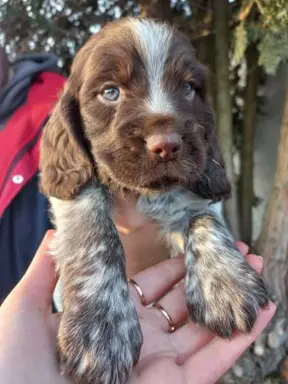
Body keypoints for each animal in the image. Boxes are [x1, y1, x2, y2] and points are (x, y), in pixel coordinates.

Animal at [39, 17, 268, 384]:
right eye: (110, 92)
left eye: (188, 88)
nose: (167, 144)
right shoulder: (73, 184)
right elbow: (94, 234)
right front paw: (102, 328)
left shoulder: (199, 191)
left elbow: (204, 217)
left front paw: (226, 283)